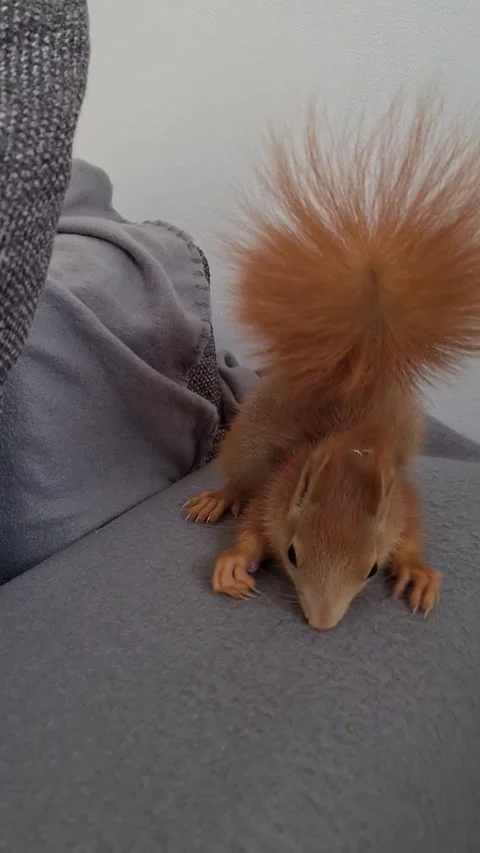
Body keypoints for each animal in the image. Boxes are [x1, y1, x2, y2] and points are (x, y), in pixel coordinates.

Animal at [185, 97, 480, 631]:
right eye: (292, 554)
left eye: (371, 570)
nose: (322, 625)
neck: (352, 445)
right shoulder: (275, 495)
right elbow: (253, 526)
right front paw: (234, 564)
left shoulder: (400, 504)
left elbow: (410, 536)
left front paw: (417, 572)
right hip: (248, 443)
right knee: (240, 481)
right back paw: (219, 498)